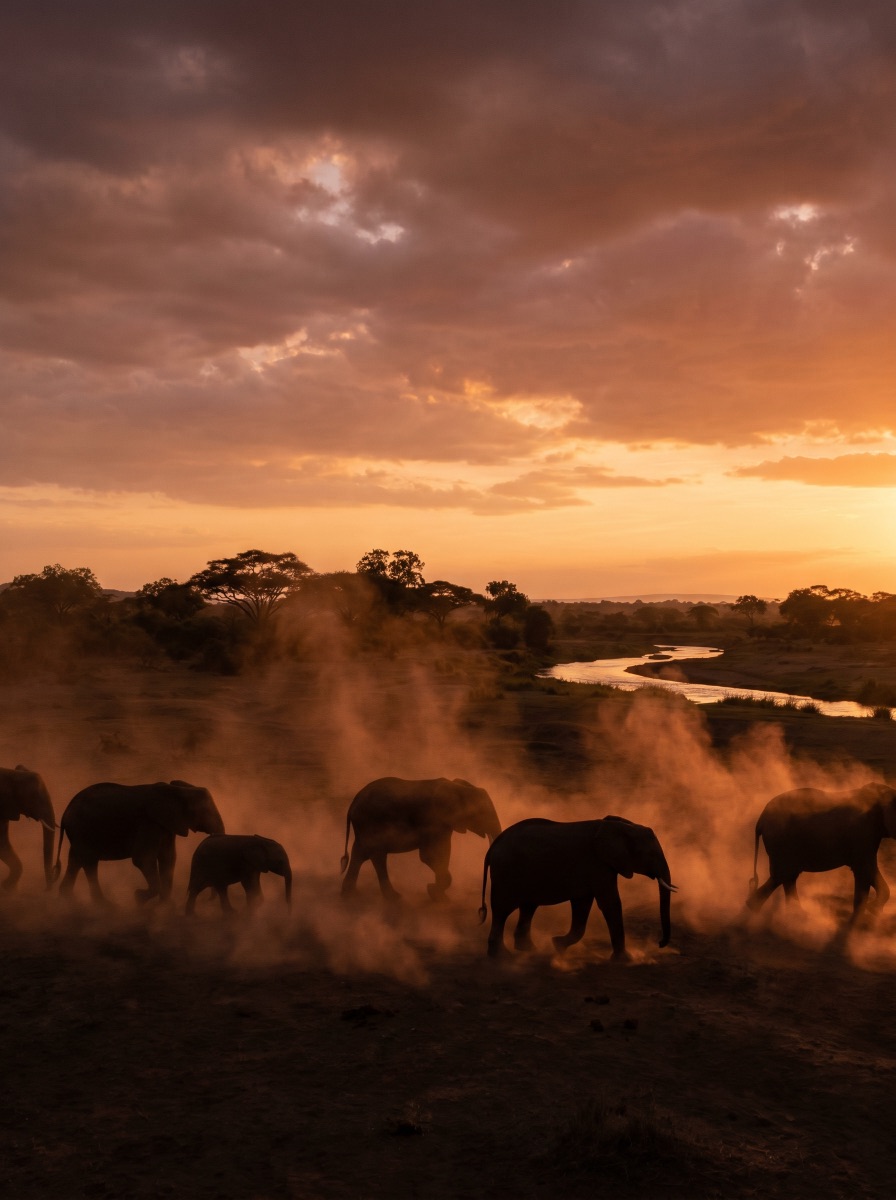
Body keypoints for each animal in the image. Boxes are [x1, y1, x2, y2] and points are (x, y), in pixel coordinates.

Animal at [56, 780, 225, 905]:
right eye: (206, 811)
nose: (207, 899)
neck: (175, 790)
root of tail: (65, 813)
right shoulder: (148, 822)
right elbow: (143, 858)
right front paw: (139, 897)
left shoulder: (166, 825)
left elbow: (168, 858)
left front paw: (164, 906)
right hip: (82, 830)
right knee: (89, 862)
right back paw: (104, 905)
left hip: (79, 833)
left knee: (76, 861)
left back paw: (69, 900)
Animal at [340, 776, 501, 900]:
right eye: (483, 813)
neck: (456, 786)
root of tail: (353, 803)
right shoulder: (433, 820)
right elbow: (429, 856)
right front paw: (433, 891)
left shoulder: (444, 825)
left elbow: (442, 853)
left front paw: (439, 896)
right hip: (371, 823)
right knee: (376, 856)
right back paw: (393, 897)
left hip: (364, 827)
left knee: (360, 854)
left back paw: (350, 894)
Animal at [479, 815, 675, 960]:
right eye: (650, 854)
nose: (659, 943)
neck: (618, 827)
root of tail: (493, 846)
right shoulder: (598, 864)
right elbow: (610, 904)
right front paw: (625, 960)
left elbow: (582, 905)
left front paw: (557, 945)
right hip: (505, 872)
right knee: (502, 910)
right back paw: (501, 956)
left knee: (528, 907)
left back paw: (528, 950)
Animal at [747, 782, 896, 924]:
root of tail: (761, 820)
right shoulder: (863, 833)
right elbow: (865, 869)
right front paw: (865, 915)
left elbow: (867, 870)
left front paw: (871, 912)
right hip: (781, 842)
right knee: (782, 875)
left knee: (787, 876)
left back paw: (793, 914)